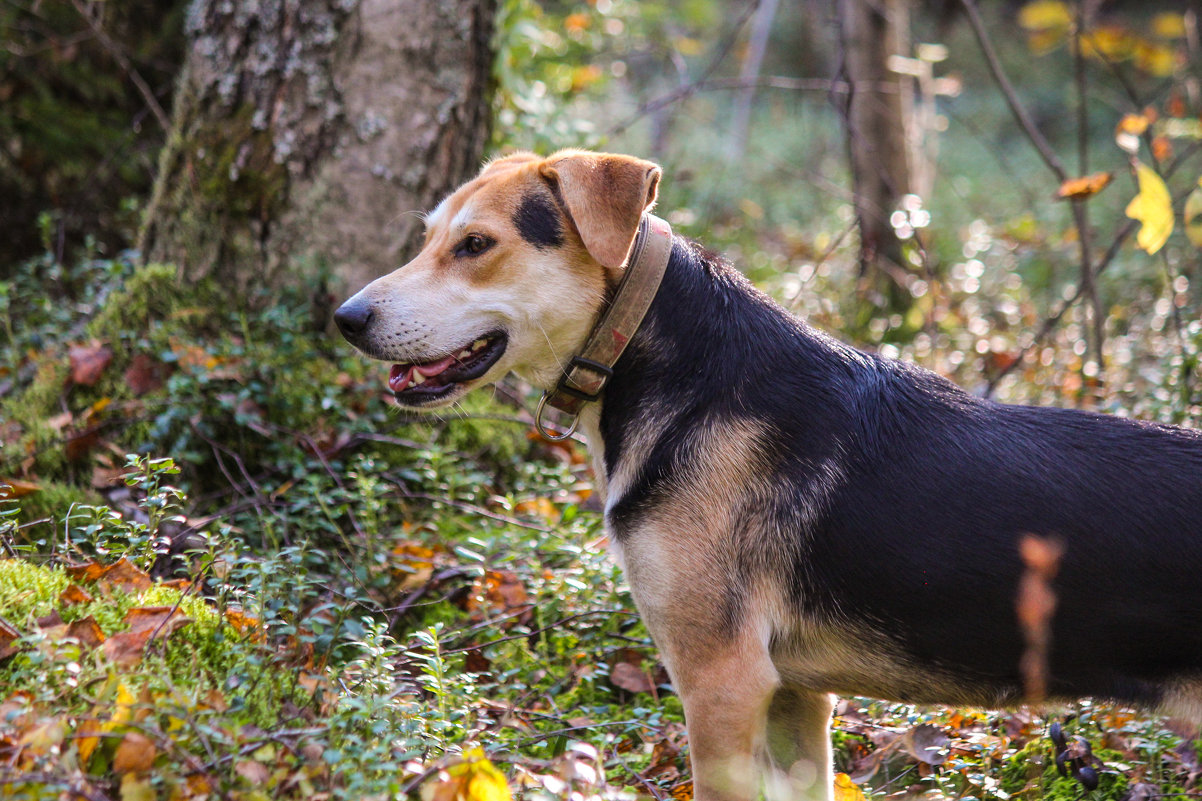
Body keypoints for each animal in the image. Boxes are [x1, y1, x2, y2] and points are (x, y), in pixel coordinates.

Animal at [334, 151, 1202, 798]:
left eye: (477, 245)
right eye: (430, 237)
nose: (346, 318)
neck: (664, 364)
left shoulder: (722, 682)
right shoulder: (795, 695)